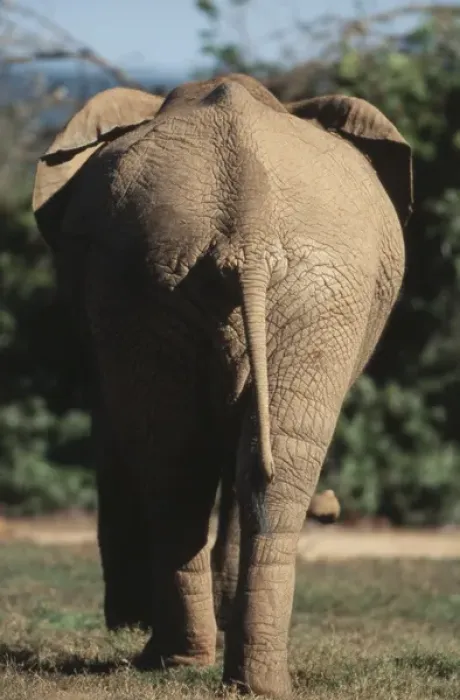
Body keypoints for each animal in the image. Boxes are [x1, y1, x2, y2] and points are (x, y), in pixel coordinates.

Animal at [32, 73, 412, 698]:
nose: (335, 510)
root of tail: (248, 235)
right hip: (167, 287)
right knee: (214, 462)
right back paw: (207, 667)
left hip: (244, 294)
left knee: (196, 461)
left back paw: (198, 666)